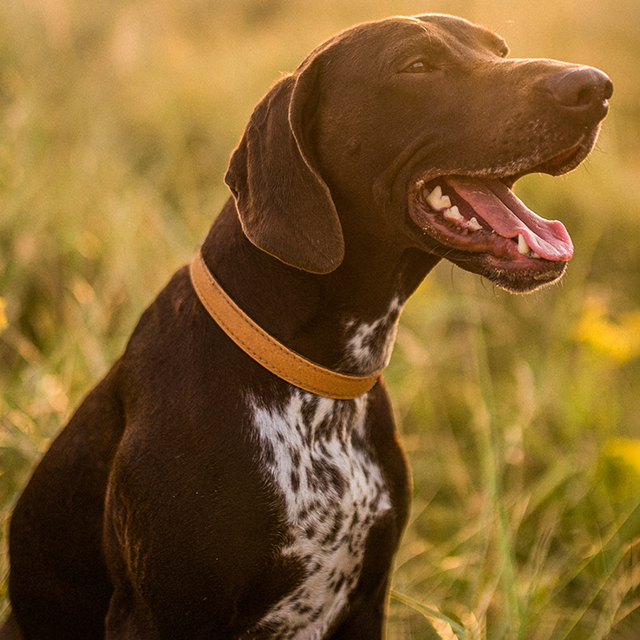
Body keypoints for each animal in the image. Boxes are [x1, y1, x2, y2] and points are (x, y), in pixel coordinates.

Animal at [1, 11, 608, 640]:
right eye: (416, 65)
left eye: (500, 49)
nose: (595, 87)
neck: (318, 390)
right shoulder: (159, 614)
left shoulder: (366, 601)